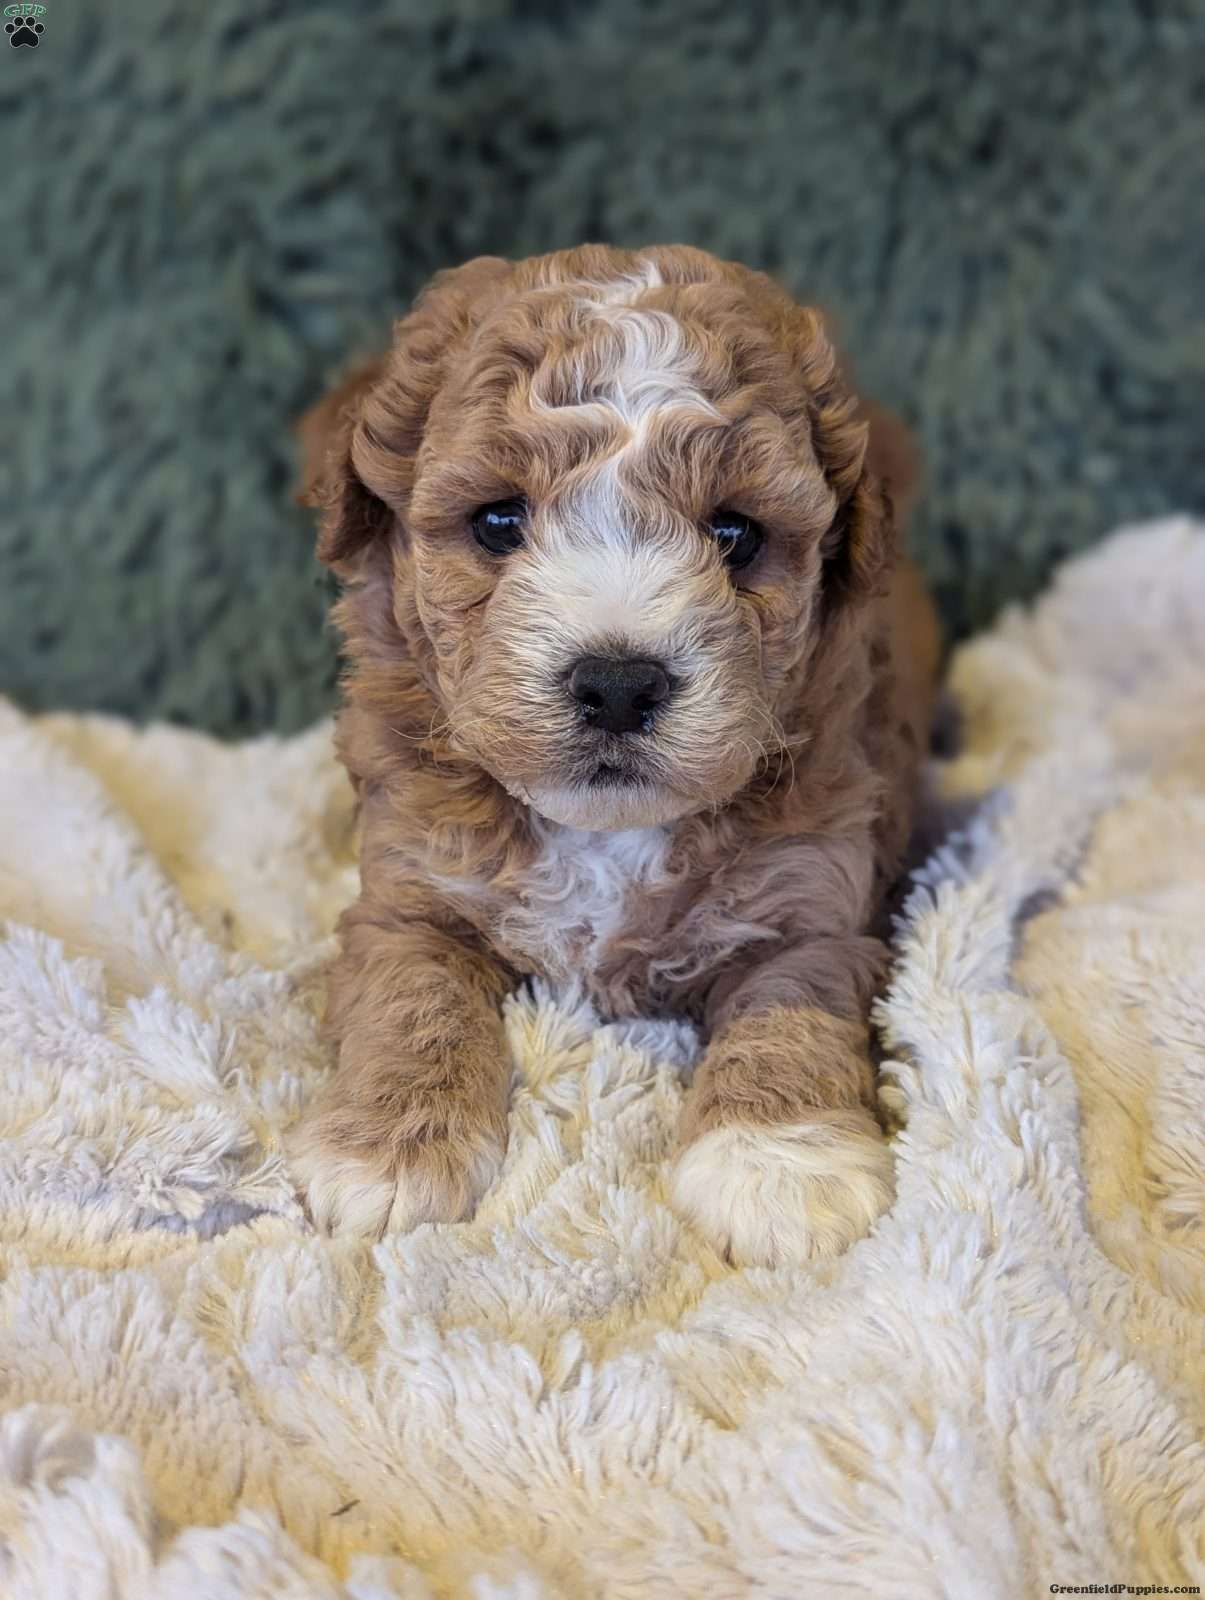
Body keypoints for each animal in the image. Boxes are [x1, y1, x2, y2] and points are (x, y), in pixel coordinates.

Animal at [289, 243, 940, 1267]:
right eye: (497, 522)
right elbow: (411, 994)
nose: (618, 683)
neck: (604, 836)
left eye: (734, 533)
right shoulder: (407, 894)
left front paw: (778, 1165)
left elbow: (789, 1002)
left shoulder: (813, 902)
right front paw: (386, 1149)